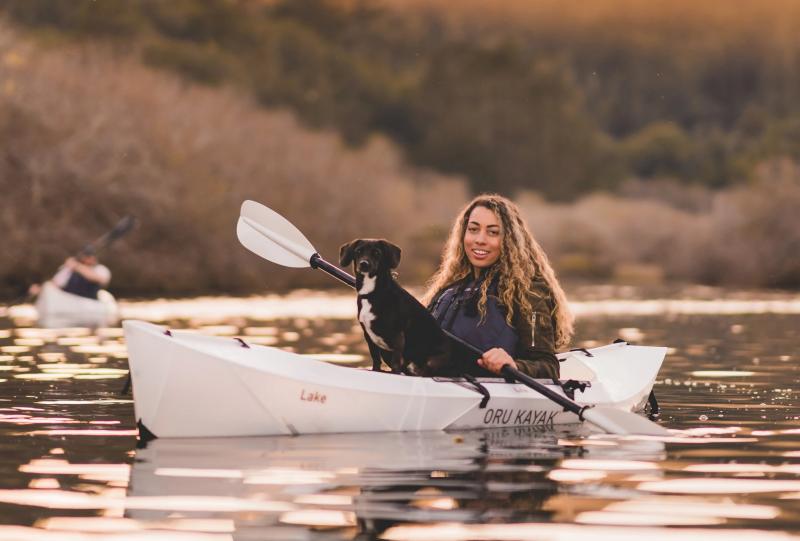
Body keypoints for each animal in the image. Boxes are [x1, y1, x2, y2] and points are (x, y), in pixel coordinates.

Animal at [338, 238, 454, 374]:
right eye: (358, 251)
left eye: (377, 253)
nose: (364, 264)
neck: (373, 293)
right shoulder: (369, 337)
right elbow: (375, 359)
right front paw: (376, 370)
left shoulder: (397, 337)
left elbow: (395, 363)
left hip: (432, 361)